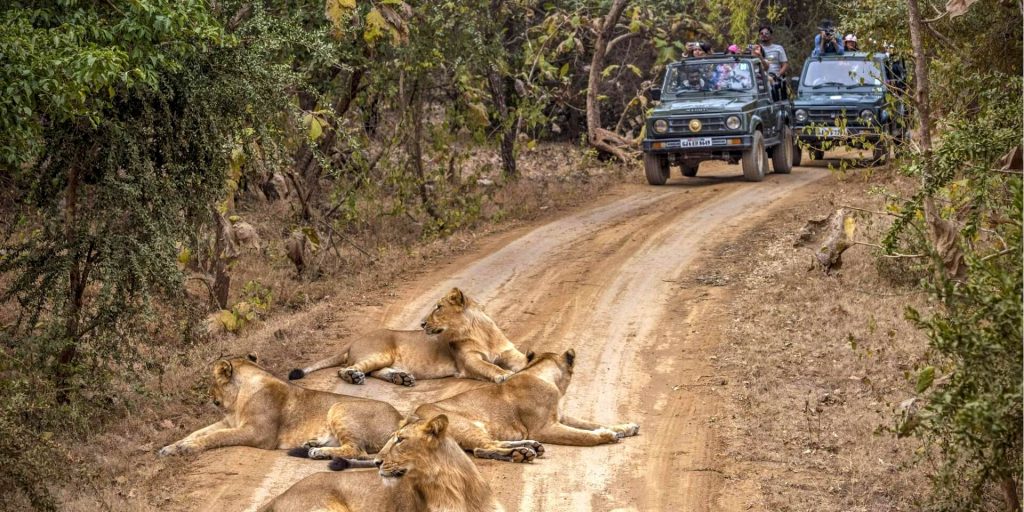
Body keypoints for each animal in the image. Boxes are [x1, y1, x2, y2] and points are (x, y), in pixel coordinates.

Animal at [158, 352, 399, 460]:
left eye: (213, 381)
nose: (209, 396)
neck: (238, 400)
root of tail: (401, 420)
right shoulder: (228, 422)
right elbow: (197, 432)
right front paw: (171, 447)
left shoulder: (258, 434)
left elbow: (216, 437)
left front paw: (187, 448)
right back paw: (311, 444)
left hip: (339, 407)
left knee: (357, 450)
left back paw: (317, 452)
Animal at [288, 288, 528, 387]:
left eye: (438, 307)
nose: (421, 324)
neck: (479, 331)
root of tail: (352, 342)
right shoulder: (468, 361)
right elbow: (490, 367)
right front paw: (504, 375)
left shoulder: (509, 352)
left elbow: (524, 360)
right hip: (379, 353)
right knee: (347, 369)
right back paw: (355, 377)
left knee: (374, 371)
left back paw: (401, 378)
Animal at [409, 348, 638, 464]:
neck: (540, 372)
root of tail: (410, 418)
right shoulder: (545, 428)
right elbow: (583, 436)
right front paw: (606, 435)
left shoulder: (561, 417)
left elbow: (591, 422)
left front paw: (625, 427)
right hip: (464, 425)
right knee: (482, 448)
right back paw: (521, 454)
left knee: (488, 445)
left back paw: (530, 448)